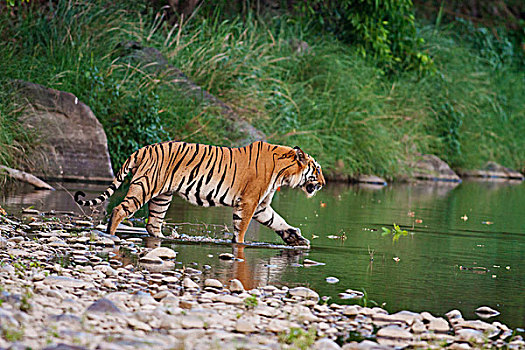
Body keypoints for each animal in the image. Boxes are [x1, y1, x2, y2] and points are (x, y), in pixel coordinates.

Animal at [73, 139, 324, 246]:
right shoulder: (249, 201)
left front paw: (295, 238)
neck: (284, 172)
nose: (322, 183)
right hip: (144, 187)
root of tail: (142, 149)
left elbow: (277, 221)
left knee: (152, 223)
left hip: (162, 196)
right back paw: (110, 235)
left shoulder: (261, 206)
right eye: (318, 169)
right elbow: (242, 228)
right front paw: (240, 244)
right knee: (119, 209)